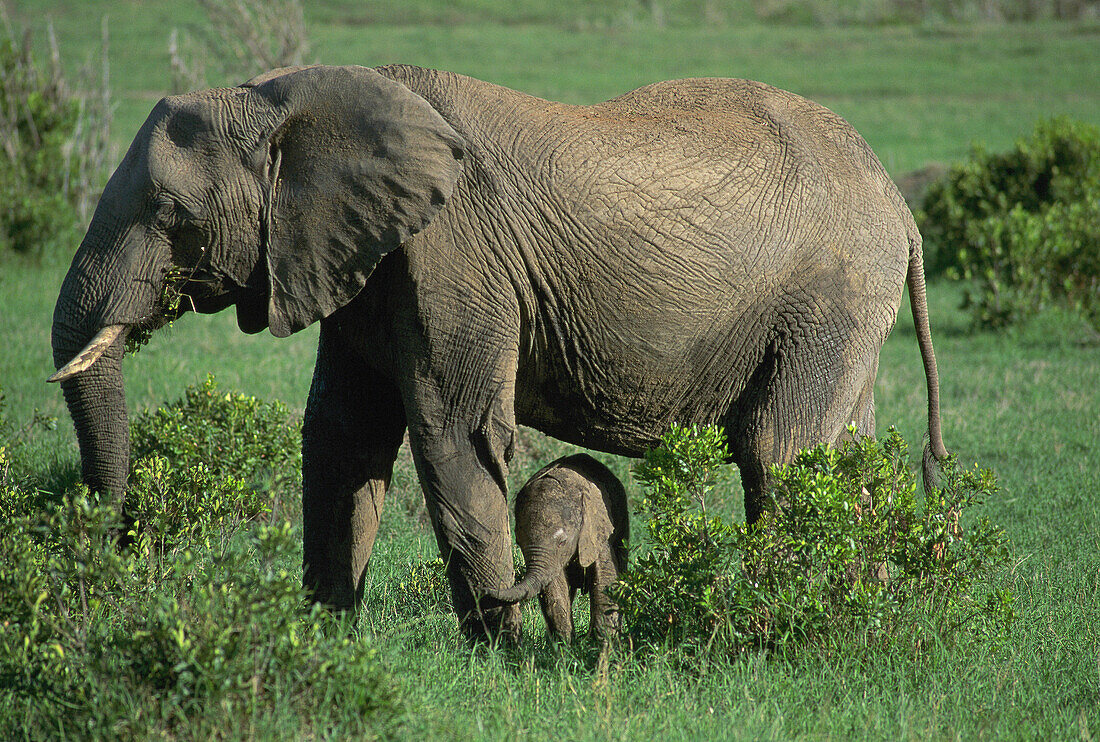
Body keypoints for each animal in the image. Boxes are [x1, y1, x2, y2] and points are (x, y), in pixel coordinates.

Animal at [488, 455, 633, 641]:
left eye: (562, 542)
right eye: (519, 543)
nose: (485, 591)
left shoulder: (597, 530)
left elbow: (605, 579)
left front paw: (603, 643)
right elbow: (555, 589)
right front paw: (566, 645)